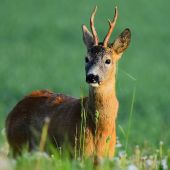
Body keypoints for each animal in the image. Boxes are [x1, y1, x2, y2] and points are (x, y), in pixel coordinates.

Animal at [5, 5, 130, 159]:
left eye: (108, 60)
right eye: (86, 58)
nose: (92, 77)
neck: (100, 128)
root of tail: (10, 114)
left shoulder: (106, 155)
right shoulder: (76, 152)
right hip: (18, 146)